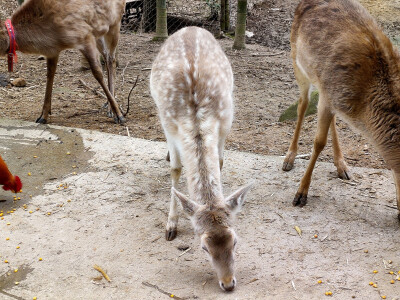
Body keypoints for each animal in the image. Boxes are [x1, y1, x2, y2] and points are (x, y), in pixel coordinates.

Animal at [150, 27, 250, 292]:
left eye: (235, 241)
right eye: (204, 247)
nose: (228, 283)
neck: (195, 115)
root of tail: (191, 28)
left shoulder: (225, 123)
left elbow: (220, 163)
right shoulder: (169, 126)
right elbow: (176, 169)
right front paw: (171, 225)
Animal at [282, 0, 400, 219]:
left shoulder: (330, 97)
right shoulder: (327, 96)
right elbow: (319, 142)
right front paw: (300, 194)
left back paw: (342, 165)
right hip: (297, 62)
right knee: (302, 104)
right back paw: (289, 158)